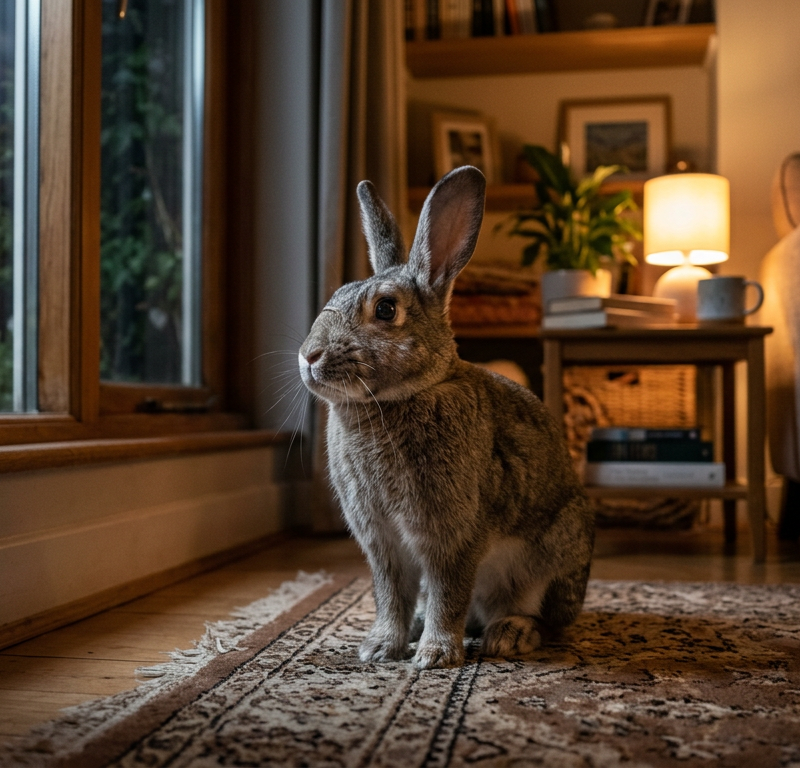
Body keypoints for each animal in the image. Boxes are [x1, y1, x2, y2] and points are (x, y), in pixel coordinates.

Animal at [299, 166, 594, 669]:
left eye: (386, 309)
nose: (308, 356)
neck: (397, 398)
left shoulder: (452, 537)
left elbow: (447, 593)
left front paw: (435, 656)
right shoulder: (382, 543)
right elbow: (390, 595)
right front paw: (380, 648)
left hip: (551, 559)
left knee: (539, 616)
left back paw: (509, 634)